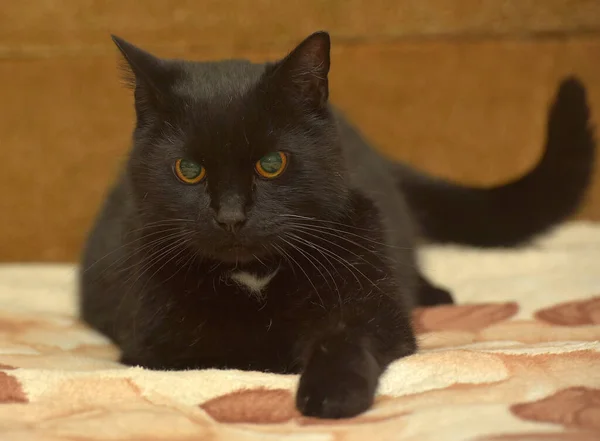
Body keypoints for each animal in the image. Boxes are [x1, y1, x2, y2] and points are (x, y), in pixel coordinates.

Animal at [81, 31, 596, 420]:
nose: (230, 216)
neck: (255, 274)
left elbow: (345, 339)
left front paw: (332, 393)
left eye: (272, 163)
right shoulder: (156, 346)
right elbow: (236, 349)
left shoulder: (372, 307)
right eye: (188, 170)